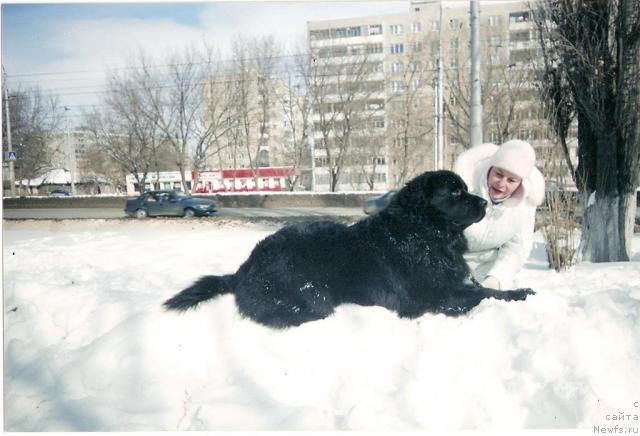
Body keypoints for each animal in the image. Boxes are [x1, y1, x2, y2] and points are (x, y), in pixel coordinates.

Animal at [165, 170, 536, 328]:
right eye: (455, 193)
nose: (485, 202)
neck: (422, 234)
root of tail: (244, 268)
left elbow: (482, 287)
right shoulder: (435, 294)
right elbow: (482, 293)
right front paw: (520, 294)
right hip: (311, 296)